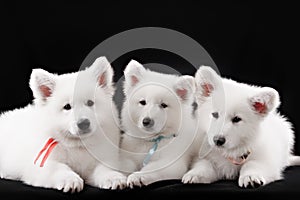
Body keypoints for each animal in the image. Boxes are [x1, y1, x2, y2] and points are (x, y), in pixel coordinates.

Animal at [0, 56, 126, 192]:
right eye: (67, 107)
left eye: (90, 103)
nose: (84, 123)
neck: (78, 145)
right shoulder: (41, 164)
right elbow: (59, 168)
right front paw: (70, 180)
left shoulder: (102, 159)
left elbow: (104, 168)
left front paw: (113, 177)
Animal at [119, 60, 199, 188]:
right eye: (143, 102)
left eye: (163, 105)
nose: (146, 121)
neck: (151, 141)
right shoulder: (128, 155)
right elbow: (123, 164)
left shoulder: (172, 162)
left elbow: (152, 168)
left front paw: (137, 177)